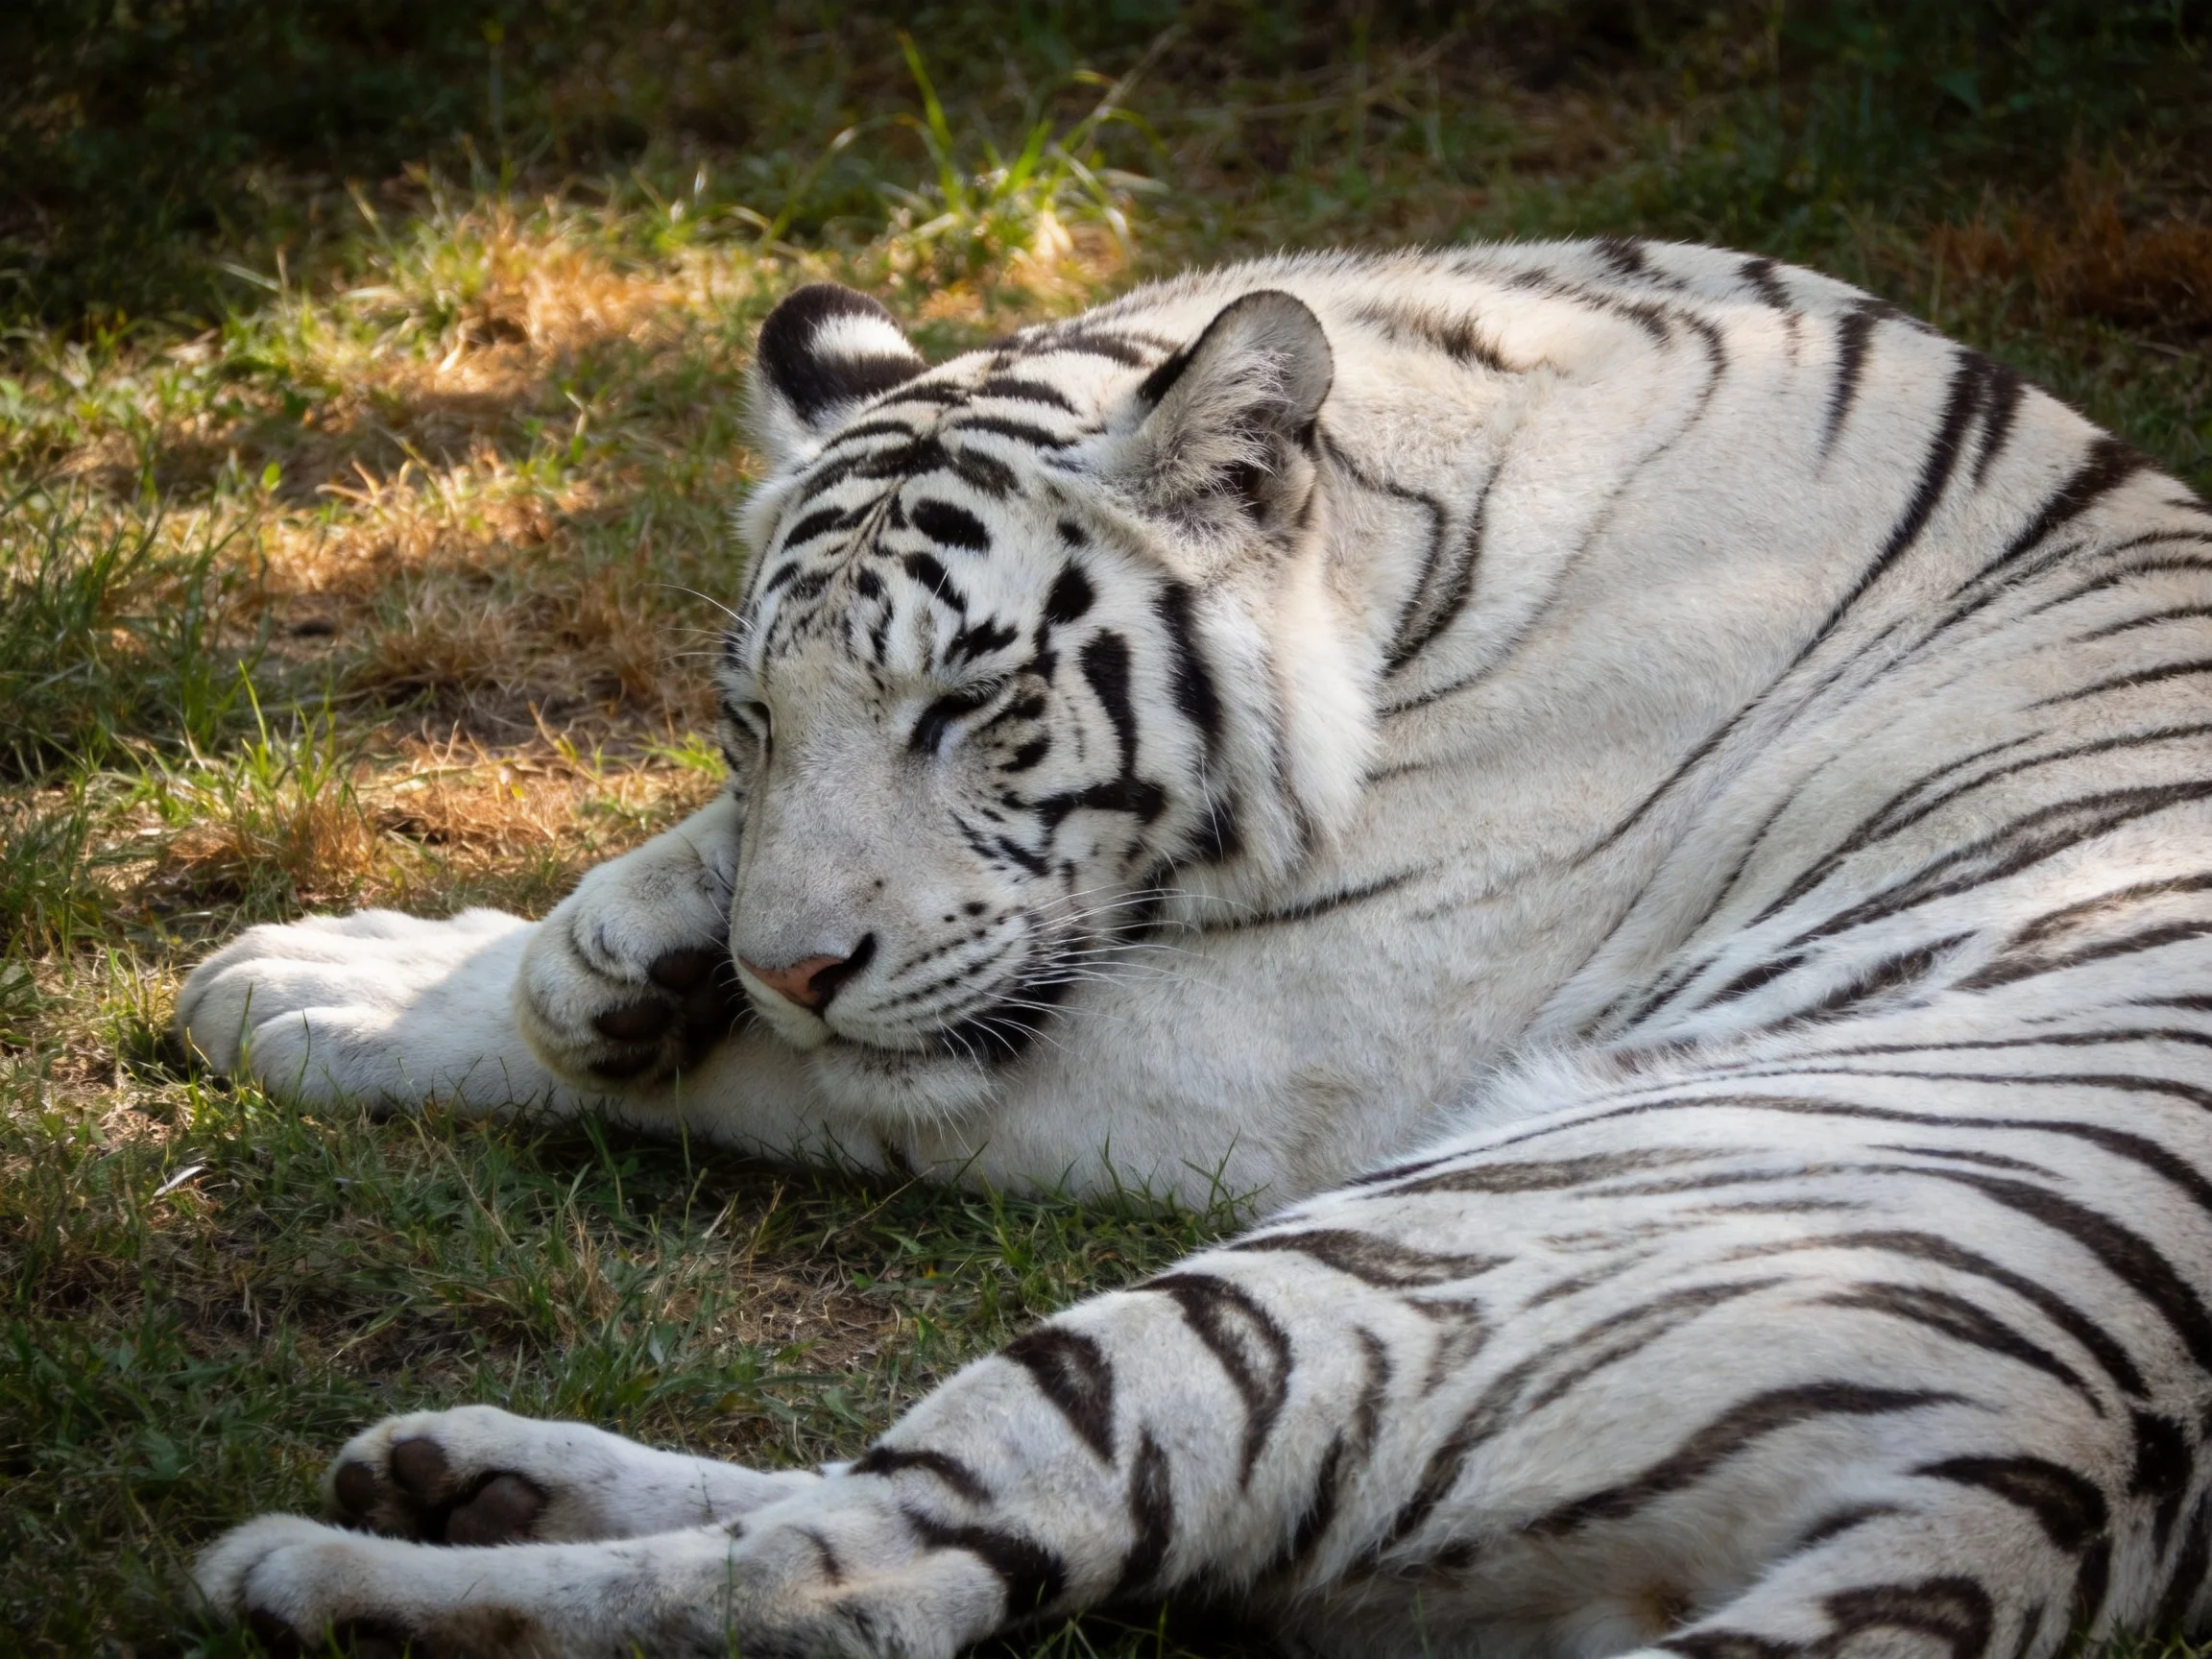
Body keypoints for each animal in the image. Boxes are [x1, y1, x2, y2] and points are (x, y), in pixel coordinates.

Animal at [185, 240, 2212, 1659]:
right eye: (755, 716)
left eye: (967, 707)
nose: (790, 970)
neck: (1425, 527)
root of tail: (2024, 1483)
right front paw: (611, 953)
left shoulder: (1258, 1037)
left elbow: (812, 1069)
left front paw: (326, 980)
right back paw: (457, 1470)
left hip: (1344, 1271)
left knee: (850, 1573)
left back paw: (322, 1565)